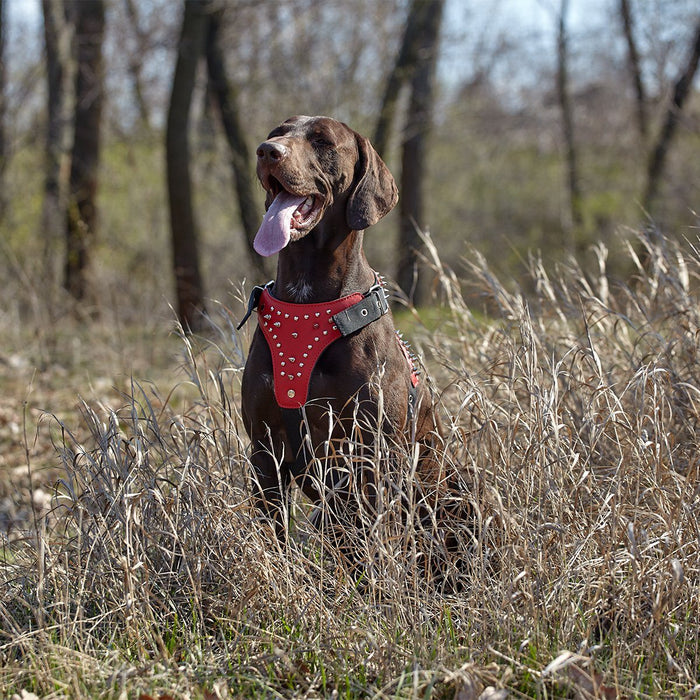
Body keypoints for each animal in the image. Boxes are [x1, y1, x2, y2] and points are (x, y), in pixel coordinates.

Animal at [238, 115, 440, 548]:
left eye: (323, 141)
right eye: (278, 132)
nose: (266, 150)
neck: (306, 303)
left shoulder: (373, 456)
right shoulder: (265, 452)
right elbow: (272, 532)